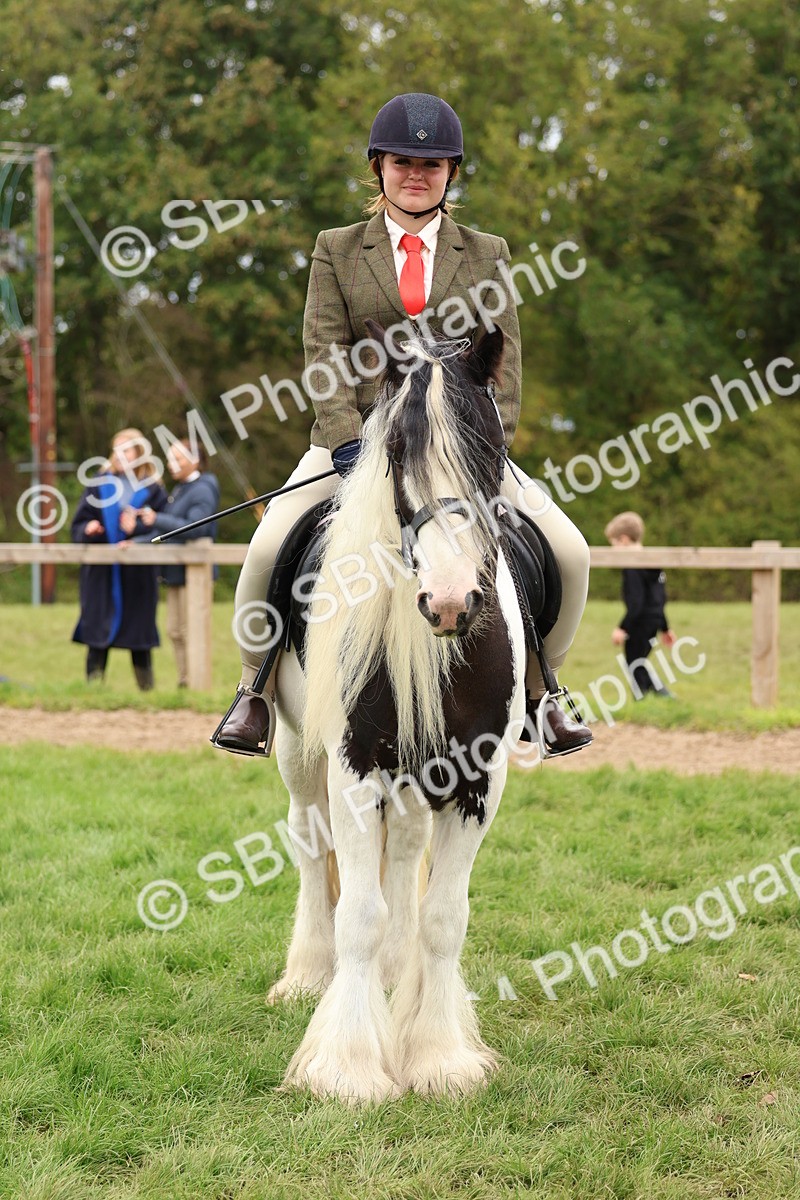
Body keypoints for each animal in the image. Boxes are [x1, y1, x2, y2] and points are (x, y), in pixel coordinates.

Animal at [268, 321, 528, 1102]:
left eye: (489, 448)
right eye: (394, 453)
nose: (447, 602)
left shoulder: (478, 779)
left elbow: (444, 918)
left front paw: (439, 1056)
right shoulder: (352, 768)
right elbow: (358, 912)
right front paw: (347, 1067)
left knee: (407, 851)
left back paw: (394, 974)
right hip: (298, 753)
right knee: (310, 843)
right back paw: (308, 974)